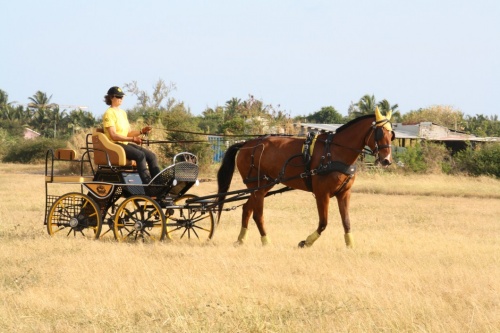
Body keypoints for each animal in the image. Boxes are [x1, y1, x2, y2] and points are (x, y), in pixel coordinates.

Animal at [216, 107, 394, 248]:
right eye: (379, 133)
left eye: (391, 134)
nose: (386, 160)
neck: (334, 152)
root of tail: (246, 144)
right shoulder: (322, 194)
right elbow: (323, 222)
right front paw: (306, 242)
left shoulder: (344, 193)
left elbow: (346, 221)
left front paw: (350, 244)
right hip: (257, 186)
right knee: (257, 215)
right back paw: (266, 241)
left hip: (265, 184)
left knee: (246, 209)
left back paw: (241, 239)